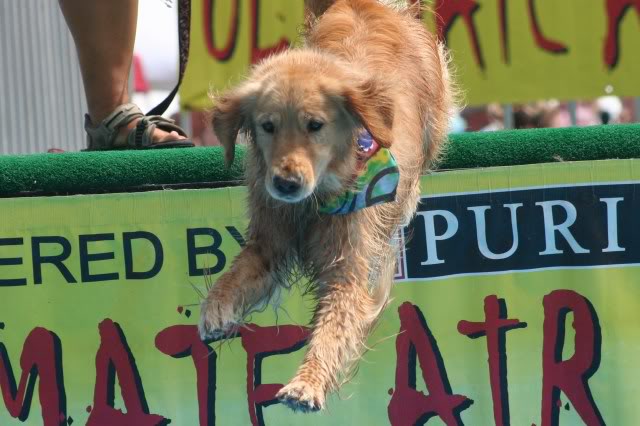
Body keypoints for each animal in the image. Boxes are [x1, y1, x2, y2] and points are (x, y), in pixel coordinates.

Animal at [198, 0, 452, 412]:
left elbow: (332, 330)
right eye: (267, 126)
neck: (313, 202)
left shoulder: (346, 270)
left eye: (315, 125)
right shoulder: (270, 240)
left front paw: (307, 383)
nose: (285, 183)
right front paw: (216, 309)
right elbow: (235, 275)